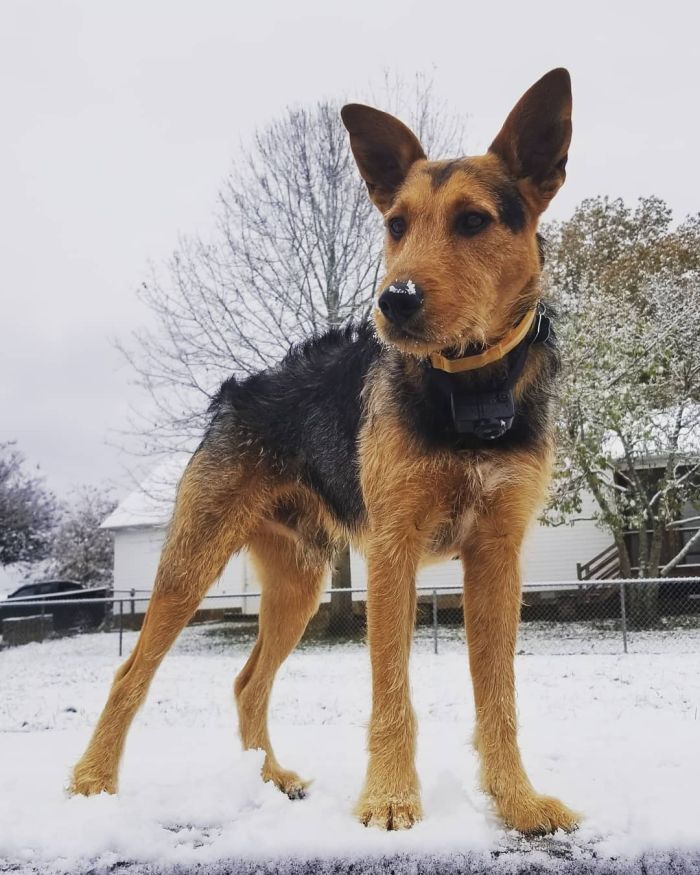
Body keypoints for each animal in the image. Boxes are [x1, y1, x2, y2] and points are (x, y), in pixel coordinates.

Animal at [71, 66, 576, 836]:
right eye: (395, 225)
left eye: (473, 221)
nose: (394, 301)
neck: (469, 391)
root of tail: (234, 393)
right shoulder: (393, 550)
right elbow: (391, 688)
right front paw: (391, 800)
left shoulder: (497, 553)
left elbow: (499, 696)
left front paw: (517, 801)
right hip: (193, 559)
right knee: (132, 673)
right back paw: (93, 781)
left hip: (300, 579)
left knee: (248, 681)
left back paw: (270, 779)